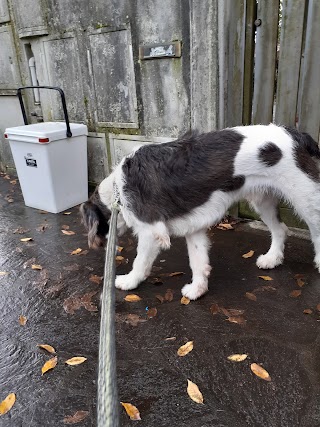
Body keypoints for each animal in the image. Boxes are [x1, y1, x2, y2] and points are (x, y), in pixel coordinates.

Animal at [79, 124, 320, 300]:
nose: (102, 246)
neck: (117, 190)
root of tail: (296, 134)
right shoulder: (193, 229)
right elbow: (198, 262)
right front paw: (197, 290)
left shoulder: (151, 232)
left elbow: (140, 262)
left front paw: (129, 281)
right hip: (263, 200)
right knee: (280, 229)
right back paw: (272, 259)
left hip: (306, 199)